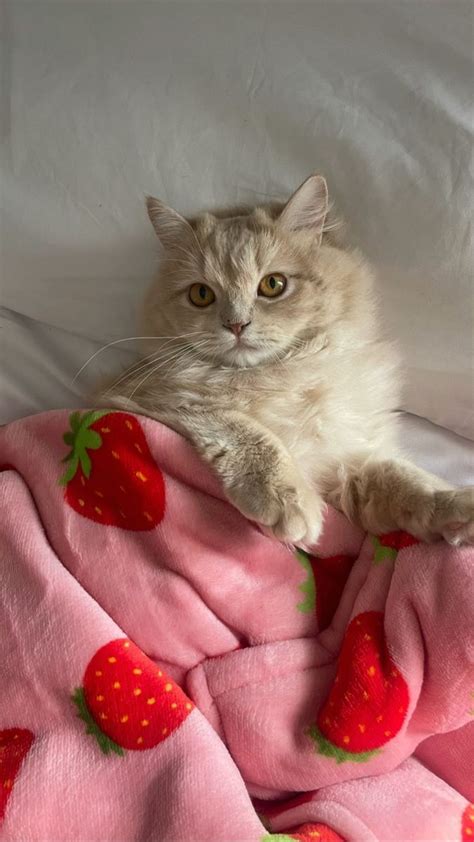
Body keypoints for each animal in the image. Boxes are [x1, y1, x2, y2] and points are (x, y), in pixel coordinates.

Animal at [99, 174, 470, 548]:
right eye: (201, 294)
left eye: (273, 285)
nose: (236, 325)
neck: (283, 375)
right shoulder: (148, 403)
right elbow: (248, 432)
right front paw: (288, 500)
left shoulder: (349, 462)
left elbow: (407, 481)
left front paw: (456, 506)